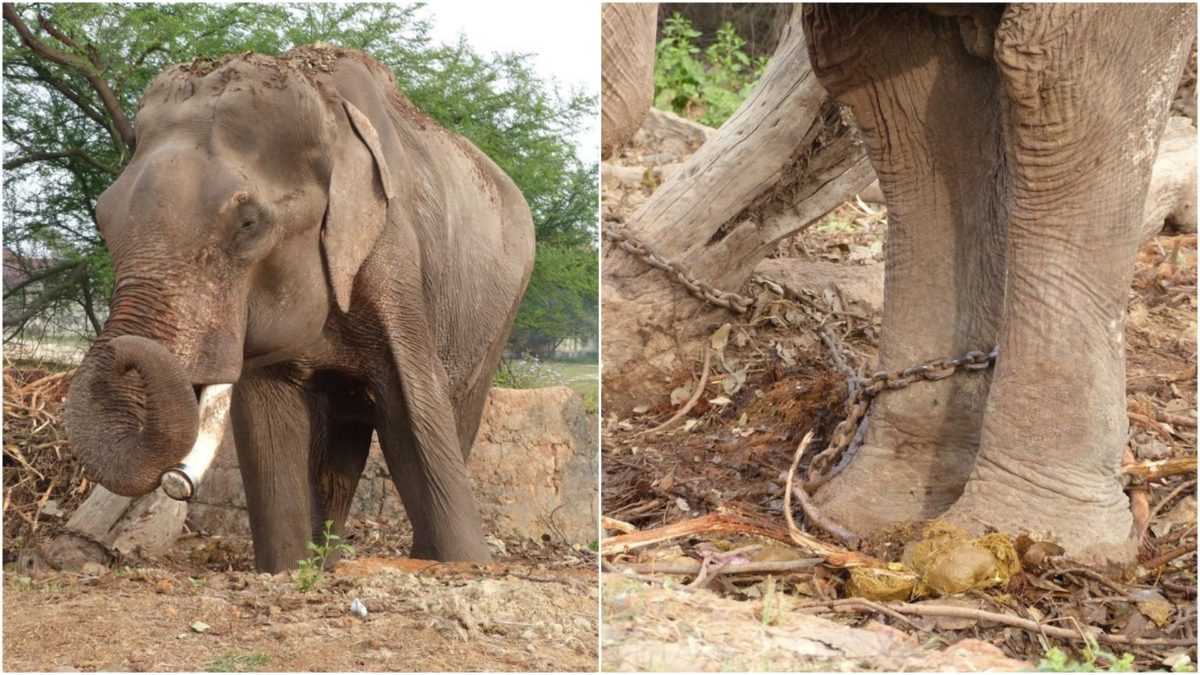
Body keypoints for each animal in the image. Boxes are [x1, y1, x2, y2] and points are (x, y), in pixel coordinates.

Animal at [64, 44, 535, 569]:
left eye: (248, 223)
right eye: (101, 219)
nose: (125, 355)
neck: (326, 109)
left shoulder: (392, 250)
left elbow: (413, 413)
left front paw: (465, 563)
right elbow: (270, 430)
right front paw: (291, 569)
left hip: (503, 306)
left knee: (455, 413)